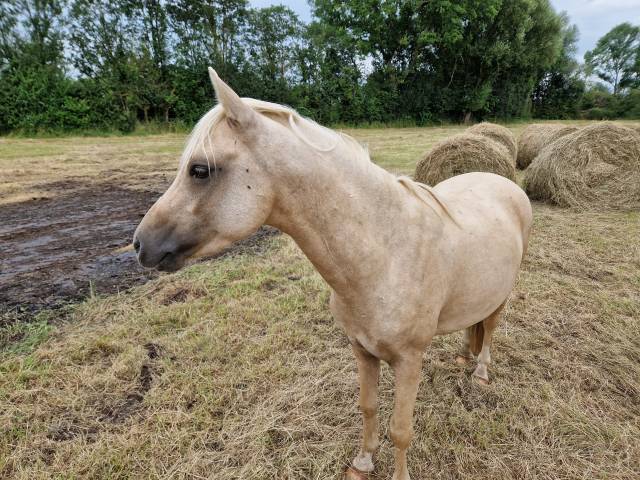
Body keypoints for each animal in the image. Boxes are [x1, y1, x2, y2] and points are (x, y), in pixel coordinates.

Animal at [132, 68, 532, 480]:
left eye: (199, 170)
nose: (140, 244)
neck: (385, 255)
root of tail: (503, 182)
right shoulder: (362, 350)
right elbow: (368, 407)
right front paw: (362, 462)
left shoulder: (409, 361)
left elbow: (401, 430)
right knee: (474, 325)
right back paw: (464, 357)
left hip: (502, 296)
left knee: (491, 328)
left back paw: (480, 371)